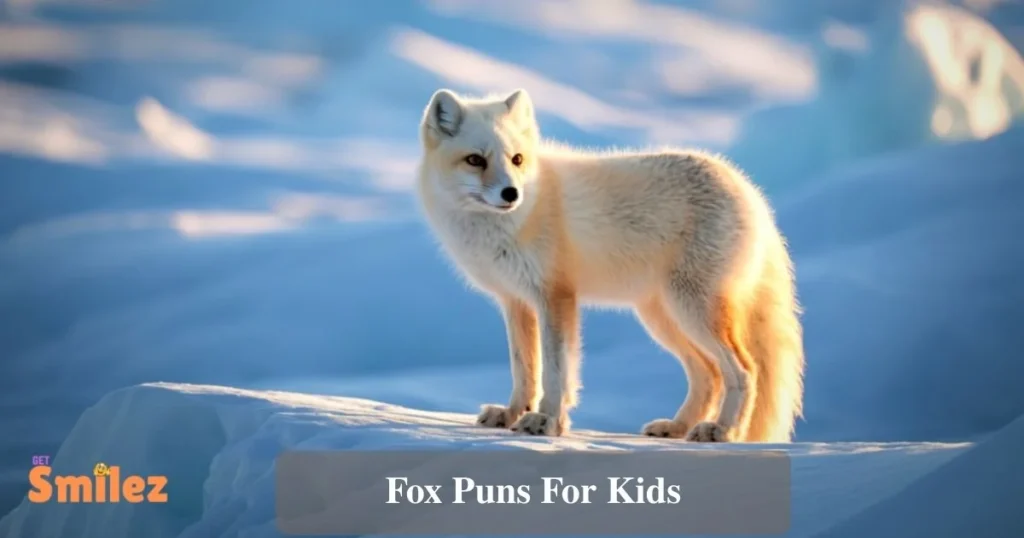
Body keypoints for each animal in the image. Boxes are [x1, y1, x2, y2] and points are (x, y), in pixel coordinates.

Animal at [415, 88, 805, 443]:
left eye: (517, 159)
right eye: (475, 160)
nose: (512, 194)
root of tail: (750, 191)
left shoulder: (556, 296)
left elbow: (556, 370)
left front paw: (548, 421)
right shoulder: (515, 301)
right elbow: (524, 369)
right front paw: (512, 414)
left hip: (692, 311)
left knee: (744, 372)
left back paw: (723, 431)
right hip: (663, 317)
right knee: (709, 375)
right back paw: (677, 427)